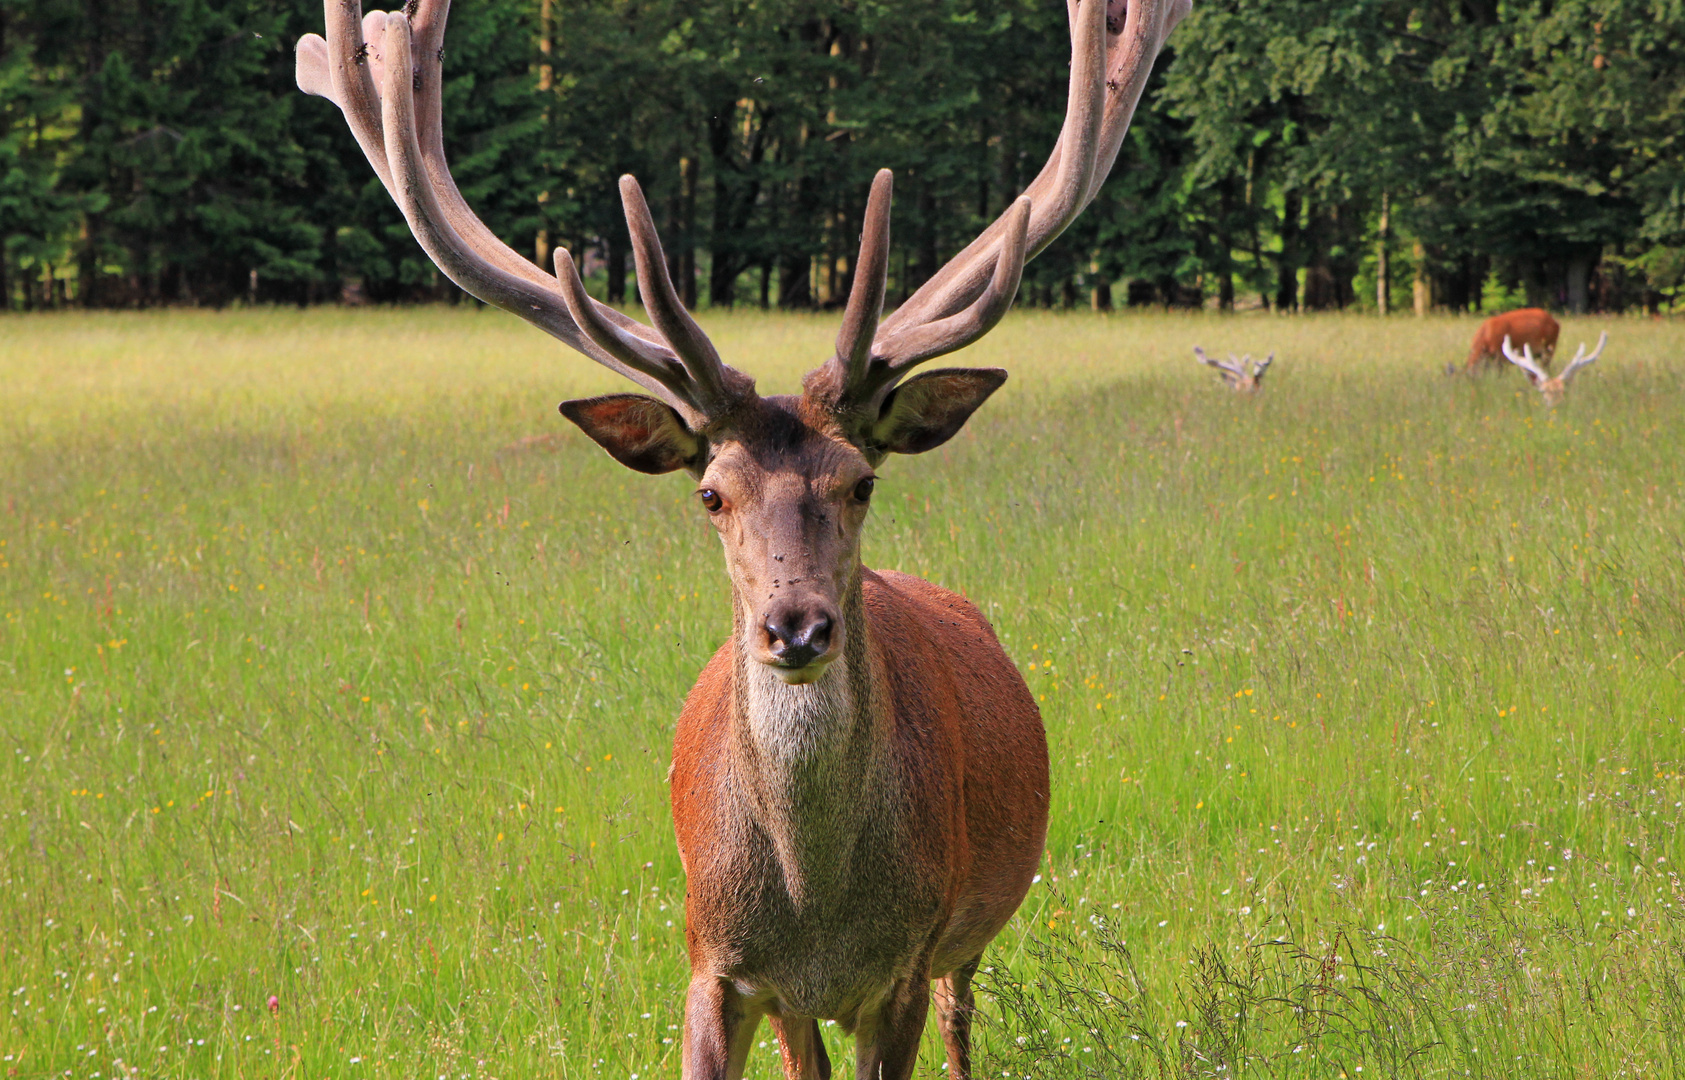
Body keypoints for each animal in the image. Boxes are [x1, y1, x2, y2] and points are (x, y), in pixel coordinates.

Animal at [293, 0, 1186, 1071]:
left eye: (861, 482)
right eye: (711, 494)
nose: (795, 627)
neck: (817, 912)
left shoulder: (902, 966)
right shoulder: (710, 963)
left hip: (965, 937)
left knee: (964, 1016)